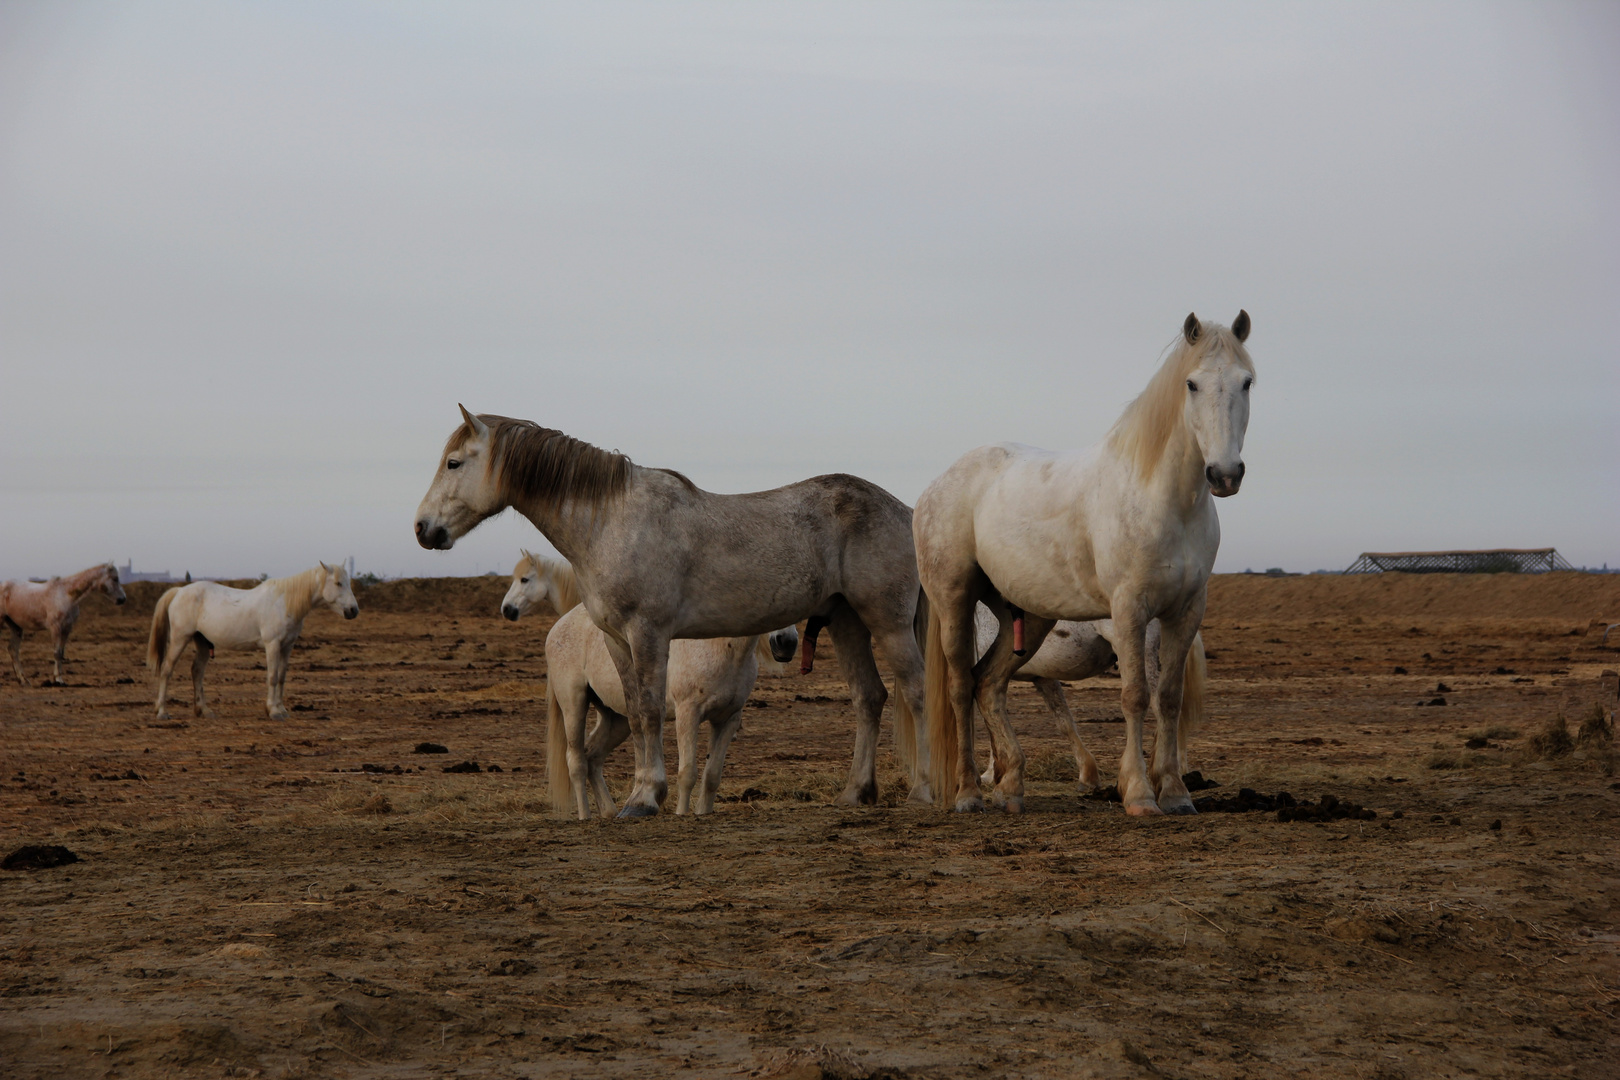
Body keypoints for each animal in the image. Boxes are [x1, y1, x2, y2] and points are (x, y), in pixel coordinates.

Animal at [145, 563, 358, 722]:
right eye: (338, 583)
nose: (353, 610)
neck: (284, 602)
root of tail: (179, 591)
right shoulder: (272, 645)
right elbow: (272, 677)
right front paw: (273, 711)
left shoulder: (287, 646)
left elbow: (282, 677)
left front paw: (281, 709)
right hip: (180, 638)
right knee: (166, 670)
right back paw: (162, 711)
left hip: (203, 642)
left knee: (197, 672)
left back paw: (204, 711)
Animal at [414, 408, 939, 819]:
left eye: (454, 462)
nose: (423, 528)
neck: (611, 521)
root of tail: (904, 510)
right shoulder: (617, 640)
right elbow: (635, 711)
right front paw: (636, 796)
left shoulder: (648, 632)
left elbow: (650, 710)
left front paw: (649, 797)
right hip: (848, 621)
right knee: (869, 697)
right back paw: (855, 793)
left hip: (888, 621)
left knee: (915, 689)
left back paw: (923, 790)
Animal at [926, 307, 1250, 816]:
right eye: (1192, 384)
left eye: (1247, 382)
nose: (1225, 474)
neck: (1165, 500)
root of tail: (939, 484)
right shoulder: (1130, 609)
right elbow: (1135, 696)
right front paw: (1139, 794)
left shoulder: (1185, 610)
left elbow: (1169, 699)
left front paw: (1176, 792)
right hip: (954, 601)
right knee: (962, 687)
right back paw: (968, 793)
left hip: (1030, 618)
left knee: (989, 685)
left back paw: (1011, 787)